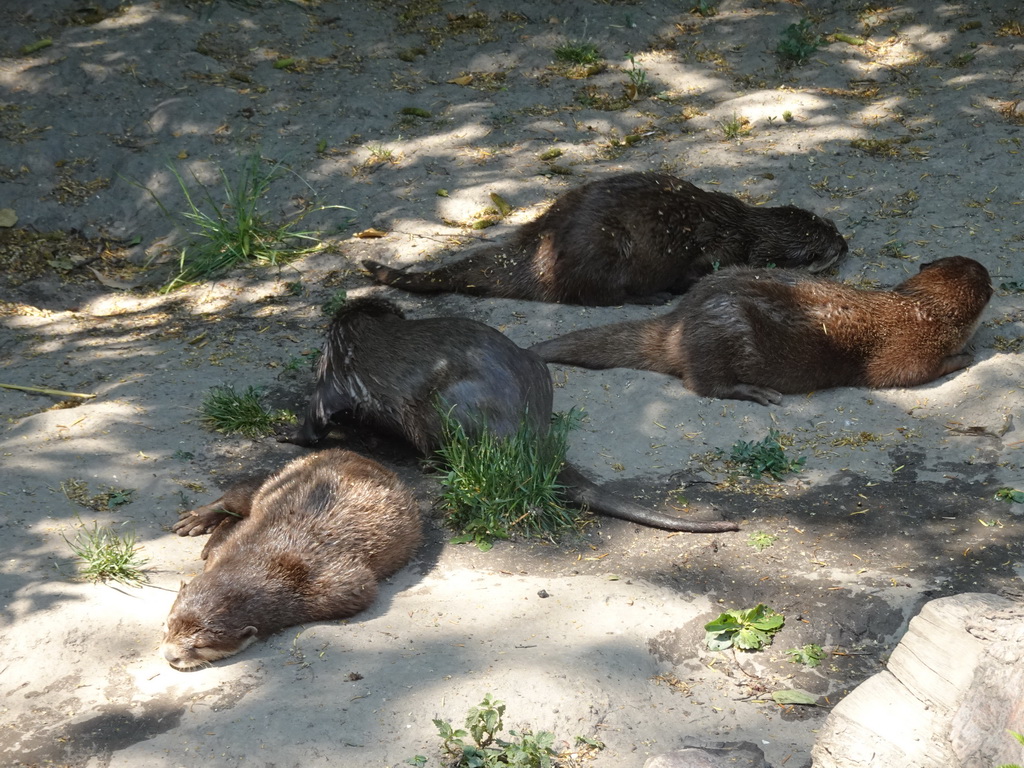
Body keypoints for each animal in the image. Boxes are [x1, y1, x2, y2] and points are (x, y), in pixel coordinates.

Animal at [159, 448, 419, 671]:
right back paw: (199, 518)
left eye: (200, 646)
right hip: (278, 478)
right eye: (169, 623)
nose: (170, 656)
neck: (267, 559)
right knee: (238, 496)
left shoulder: (343, 587)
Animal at [360, 173, 847, 305]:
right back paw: (650, 297)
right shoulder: (718, 251)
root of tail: (537, 248)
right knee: (599, 295)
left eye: (831, 226)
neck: (740, 227)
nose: (845, 245)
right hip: (605, 251)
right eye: (820, 251)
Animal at [528, 256, 991, 405]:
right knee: (703, 384)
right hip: (724, 331)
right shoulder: (909, 347)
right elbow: (904, 374)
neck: (922, 309)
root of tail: (679, 320)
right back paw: (756, 392)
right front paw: (965, 356)